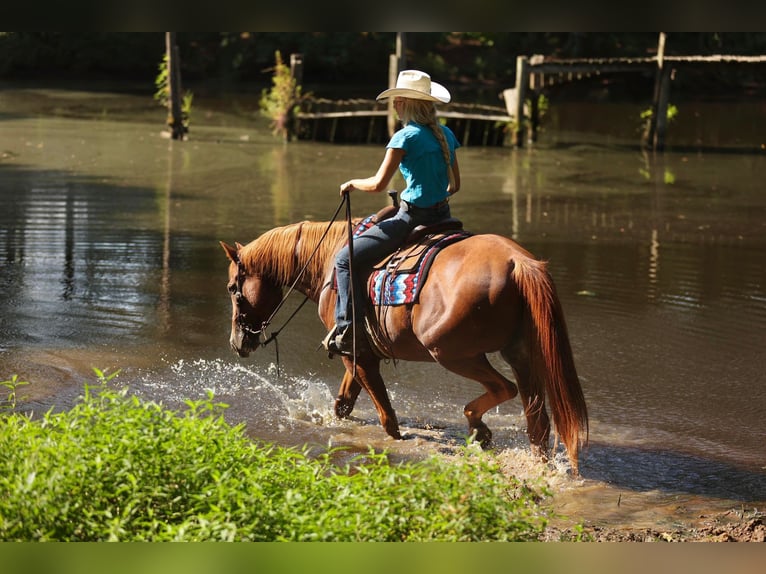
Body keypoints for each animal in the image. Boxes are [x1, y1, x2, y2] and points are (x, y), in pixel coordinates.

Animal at [219, 214, 592, 474]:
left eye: (233, 289)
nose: (237, 343)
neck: (327, 261)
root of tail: (517, 262)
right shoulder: (359, 353)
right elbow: (344, 404)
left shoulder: (356, 355)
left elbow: (387, 418)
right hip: (520, 353)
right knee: (537, 421)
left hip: (452, 353)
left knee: (505, 389)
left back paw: (477, 426)